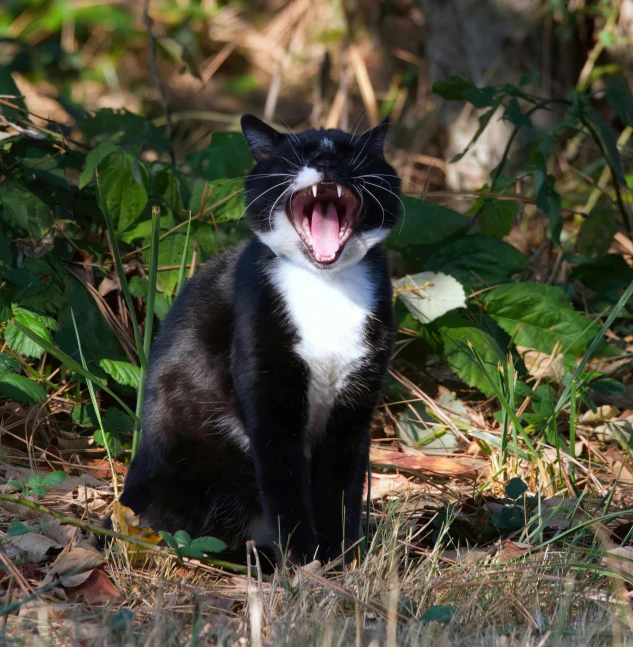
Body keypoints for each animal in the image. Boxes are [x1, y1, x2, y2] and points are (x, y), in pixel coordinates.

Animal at [119, 116, 400, 568]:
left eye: (349, 154)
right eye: (300, 154)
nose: (327, 163)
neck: (327, 287)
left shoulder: (357, 399)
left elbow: (341, 482)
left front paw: (340, 558)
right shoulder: (268, 384)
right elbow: (284, 482)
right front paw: (303, 560)